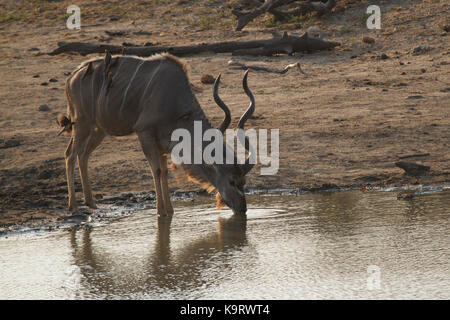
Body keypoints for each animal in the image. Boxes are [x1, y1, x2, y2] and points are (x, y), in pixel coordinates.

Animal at [59, 52, 256, 216]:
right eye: (232, 181)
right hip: (82, 123)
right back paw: (73, 206)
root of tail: (72, 77)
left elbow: (165, 172)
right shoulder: (144, 133)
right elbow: (157, 170)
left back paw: (91, 202)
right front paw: (161, 211)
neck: (174, 99)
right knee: (70, 154)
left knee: (83, 154)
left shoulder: (163, 142)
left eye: (244, 182)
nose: (242, 208)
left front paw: (170, 209)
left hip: (98, 129)